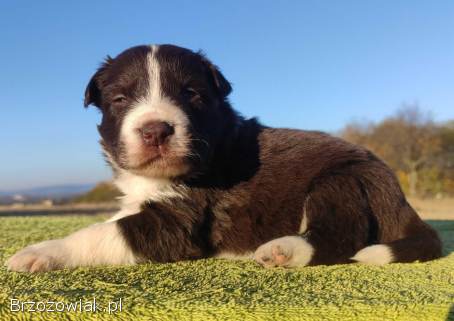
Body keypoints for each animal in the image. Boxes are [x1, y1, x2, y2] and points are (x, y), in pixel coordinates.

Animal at [7, 43, 442, 272]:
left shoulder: (178, 221)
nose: (156, 130)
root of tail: (403, 202)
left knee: (341, 234)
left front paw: (40, 253)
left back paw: (283, 250)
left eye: (191, 94)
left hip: (342, 180)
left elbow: (100, 233)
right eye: (119, 99)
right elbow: (113, 220)